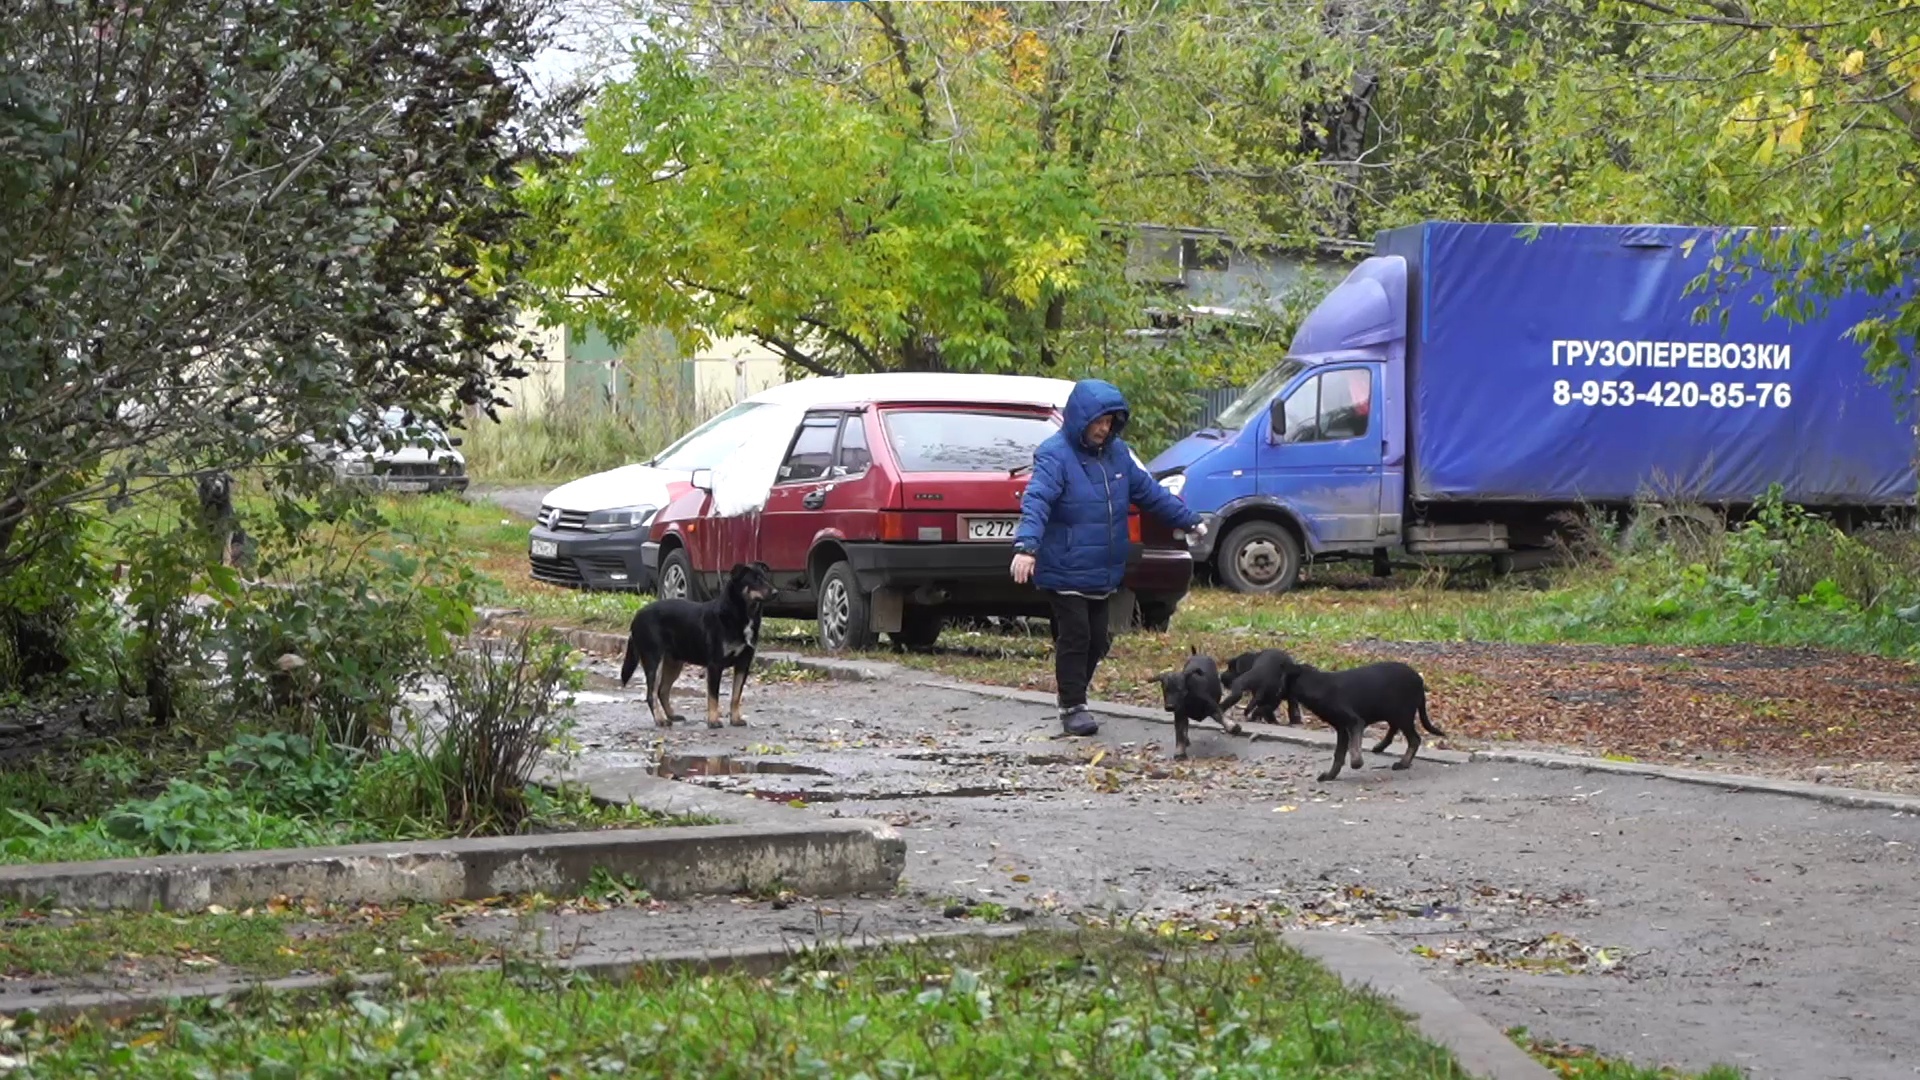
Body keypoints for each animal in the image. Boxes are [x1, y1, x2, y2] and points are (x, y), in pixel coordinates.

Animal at [618, 557, 775, 726]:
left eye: (766, 578)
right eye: (755, 580)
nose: (775, 592)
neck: (741, 614)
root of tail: (636, 617)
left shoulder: (743, 664)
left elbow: (735, 696)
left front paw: (735, 719)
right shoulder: (715, 665)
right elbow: (713, 697)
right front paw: (713, 721)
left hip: (673, 662)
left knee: (662, 690)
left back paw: (671, 715)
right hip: (653, 659)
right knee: (651, 693)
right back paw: (661, 720)